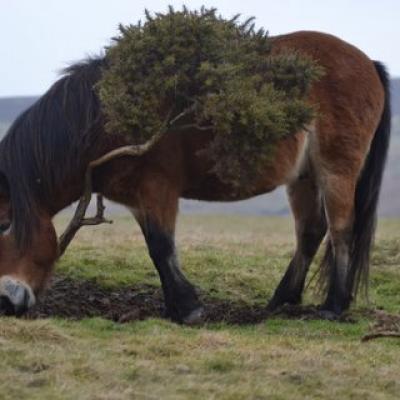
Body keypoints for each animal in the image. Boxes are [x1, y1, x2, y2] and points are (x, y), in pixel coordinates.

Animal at [0, 31, 390, 324]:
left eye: (5, 224)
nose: (6, 302)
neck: (105, 120)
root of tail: (367, 62)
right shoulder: (138, 199)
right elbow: (156, 249)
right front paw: (177, 306)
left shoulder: (157, 190)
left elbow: (162, 247)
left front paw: (188, 309)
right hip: (303, 177)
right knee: (310, 232)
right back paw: (281, 301)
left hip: (336, 170)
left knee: (341, 230)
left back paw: (334, 306)